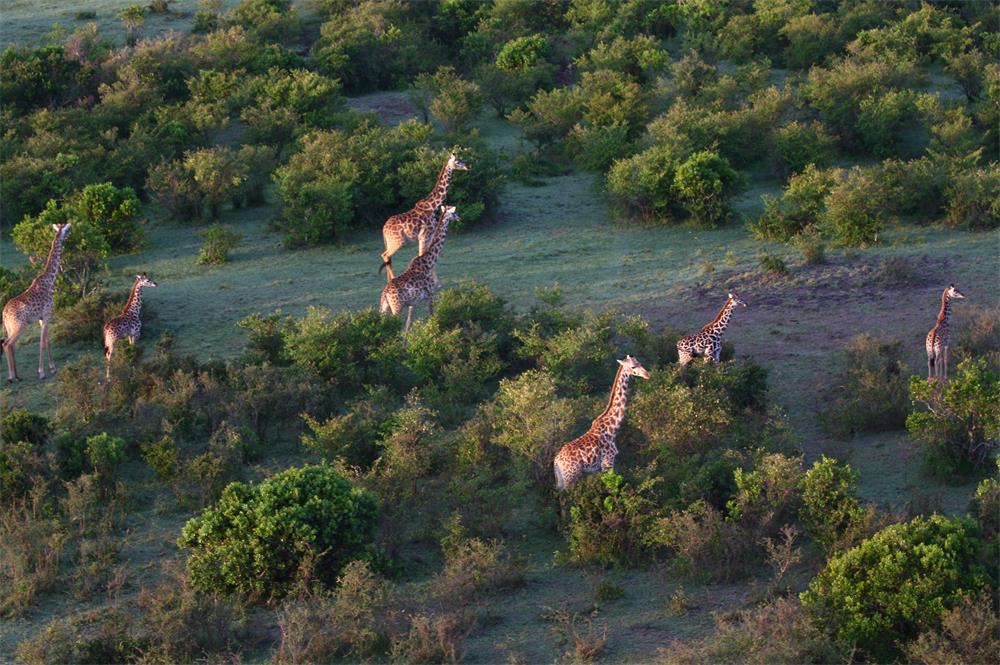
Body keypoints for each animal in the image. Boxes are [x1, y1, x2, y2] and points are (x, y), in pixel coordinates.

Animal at [0, 223, 71, 382]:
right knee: (7, 344)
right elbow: (42, 343)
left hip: (9, 326)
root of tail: (5, 313)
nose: (70, 230)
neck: (50, 280)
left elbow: (47, 341)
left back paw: (17, 375)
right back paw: (11, 376)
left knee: (10, 345)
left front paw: (52, 368)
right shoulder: (47, 314)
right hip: (20, 325)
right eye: (65, 228)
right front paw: (42, 372)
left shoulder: (41, 317)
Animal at [378, 151, 468, 280]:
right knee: (385, 255)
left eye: (461, 159)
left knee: (386, 256)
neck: (432, 206)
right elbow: (423, 255)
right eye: (457, 161)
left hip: (391, 242)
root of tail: (384, 229)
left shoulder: (429, 236)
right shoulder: (424, 236)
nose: (467, 167)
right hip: (397, 242)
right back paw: (392, 279)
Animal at [552, 358, 652, 492]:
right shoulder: (607, 463)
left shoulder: (600, 468)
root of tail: (556, 461)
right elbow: (611, 490)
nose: (647, 375)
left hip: (560, 480)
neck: (613, 427)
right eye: (633, 366)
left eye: (639, 362)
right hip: (571, 478)